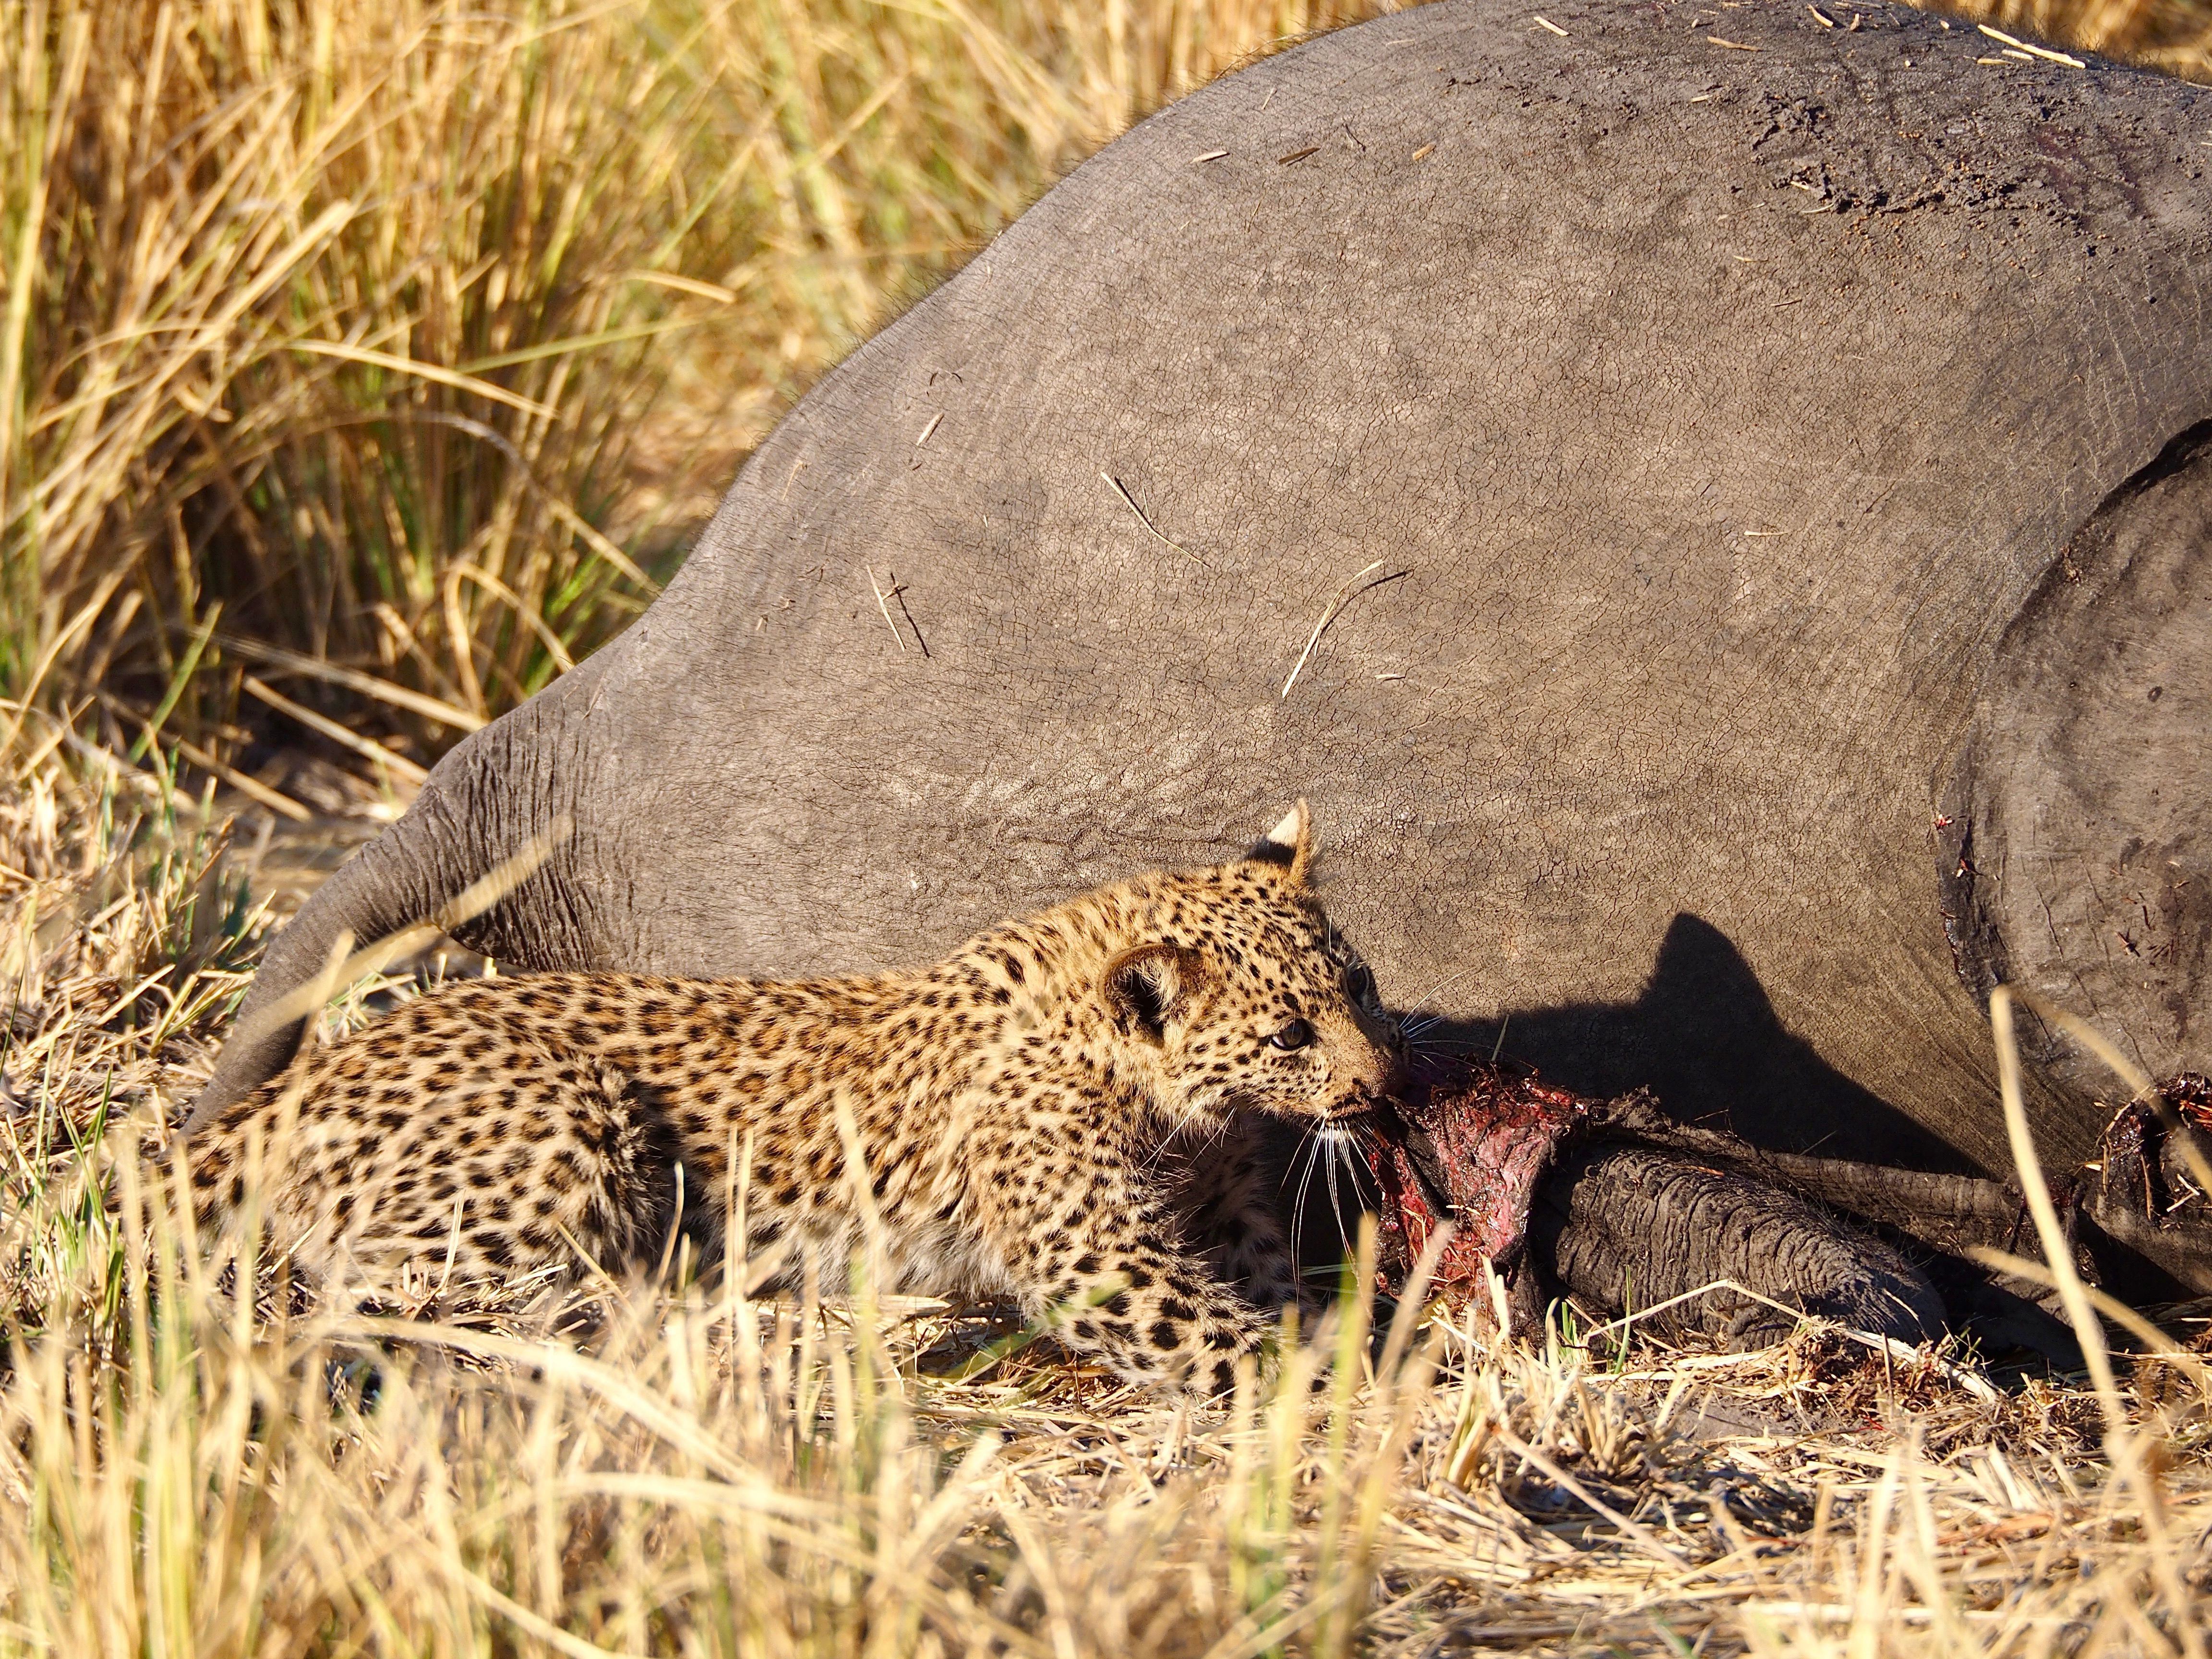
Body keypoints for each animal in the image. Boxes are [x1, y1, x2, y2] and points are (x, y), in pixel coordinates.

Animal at [186, 802, 1402, 1393]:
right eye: (1290, 1034)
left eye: (1358, 986)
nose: (1384, 1086)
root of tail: (305, 1080)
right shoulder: (1095, 1251)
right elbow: (1212, 1336)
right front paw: (1360, 1398)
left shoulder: (1223, 1209)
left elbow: (1275, 1284)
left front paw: (1353, 1338)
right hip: (565, 1127)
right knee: (388, 1296)